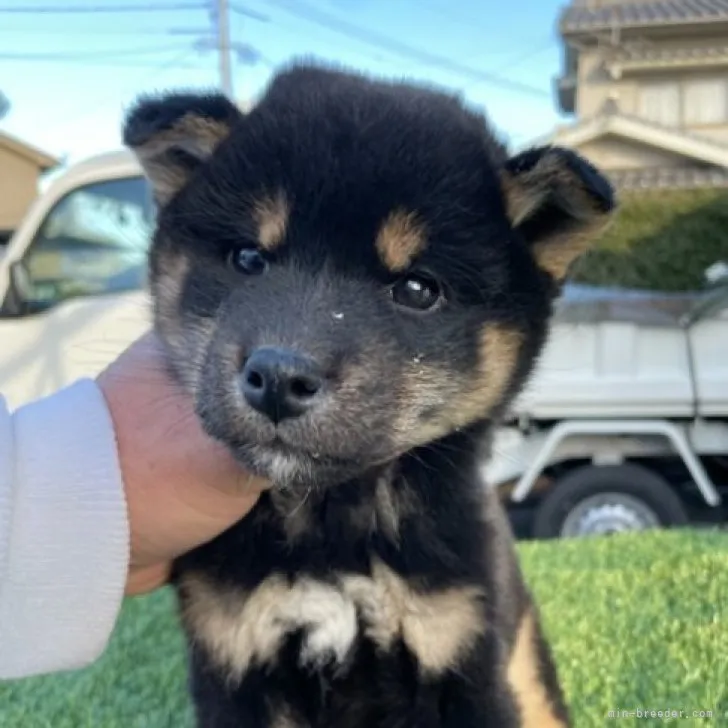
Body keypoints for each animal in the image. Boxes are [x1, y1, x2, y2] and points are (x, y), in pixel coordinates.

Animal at [123, 64, 616, 728]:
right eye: (248, 257)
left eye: (417, 288)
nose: (278, 376)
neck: (333, 529)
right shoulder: (234, 662)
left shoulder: (461, 649)